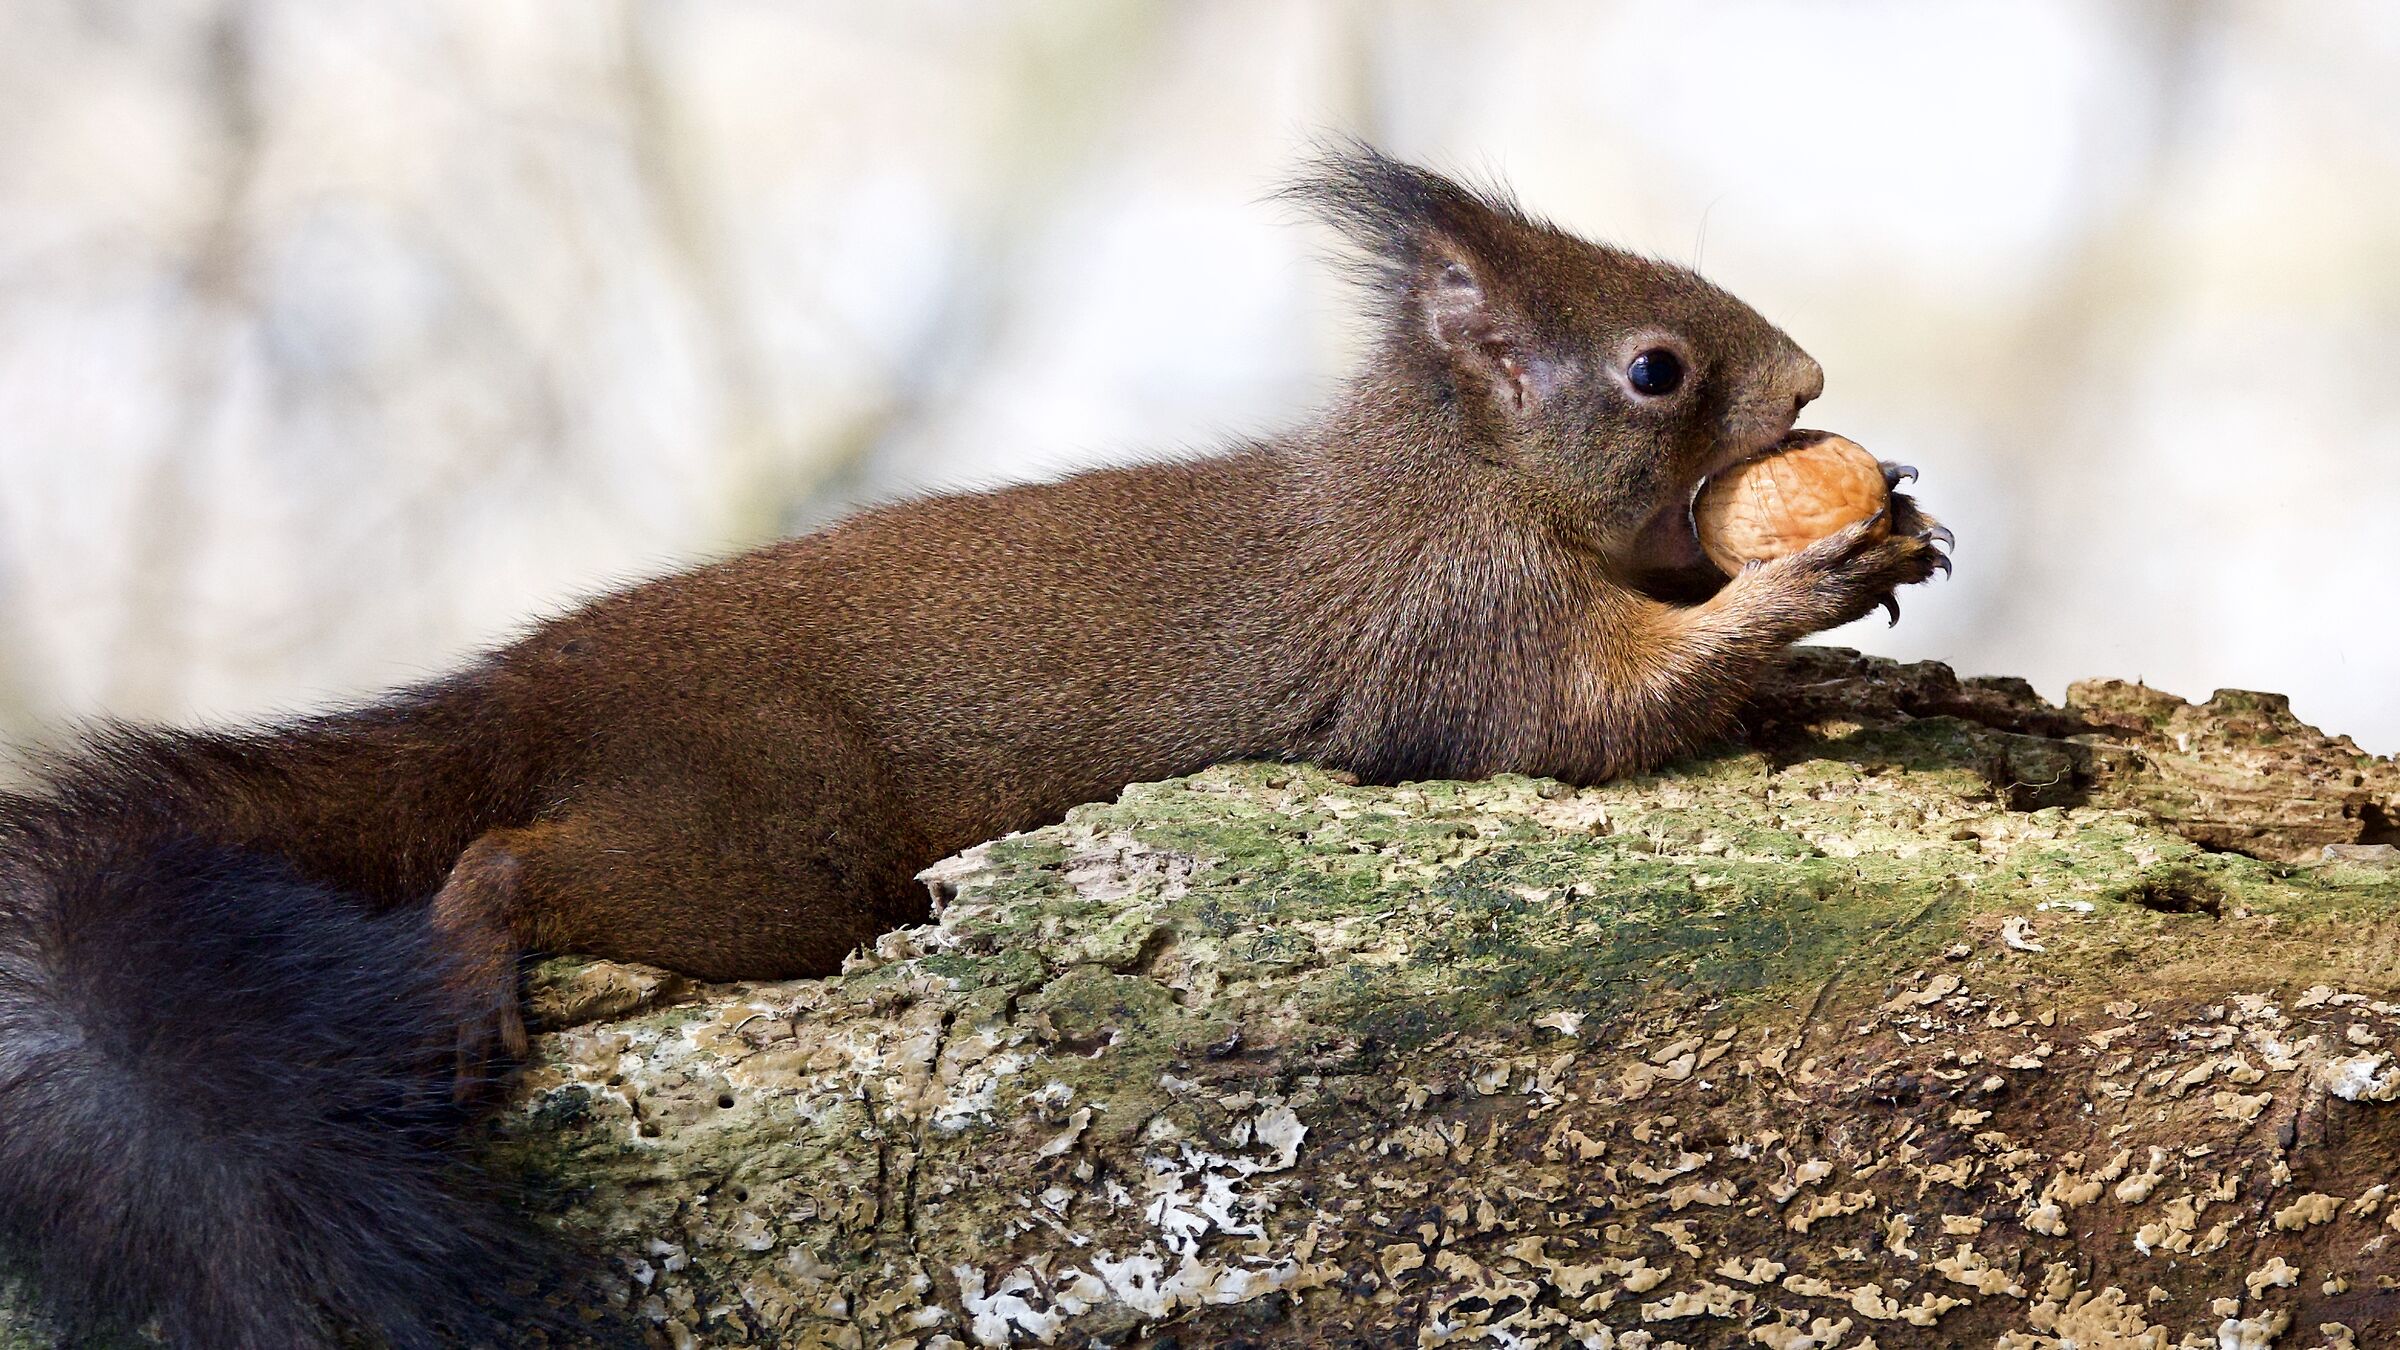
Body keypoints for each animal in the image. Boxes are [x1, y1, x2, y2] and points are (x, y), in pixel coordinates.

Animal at [0, 148, 1946, 1346]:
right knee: (509, 856)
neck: (1449, 470)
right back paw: (479, 950)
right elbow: (1598, 713)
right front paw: (1815, 579)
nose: (1814, 382)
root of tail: (539, 683)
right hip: (759, 832)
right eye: (1655, 368)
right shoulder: (1458, 625)